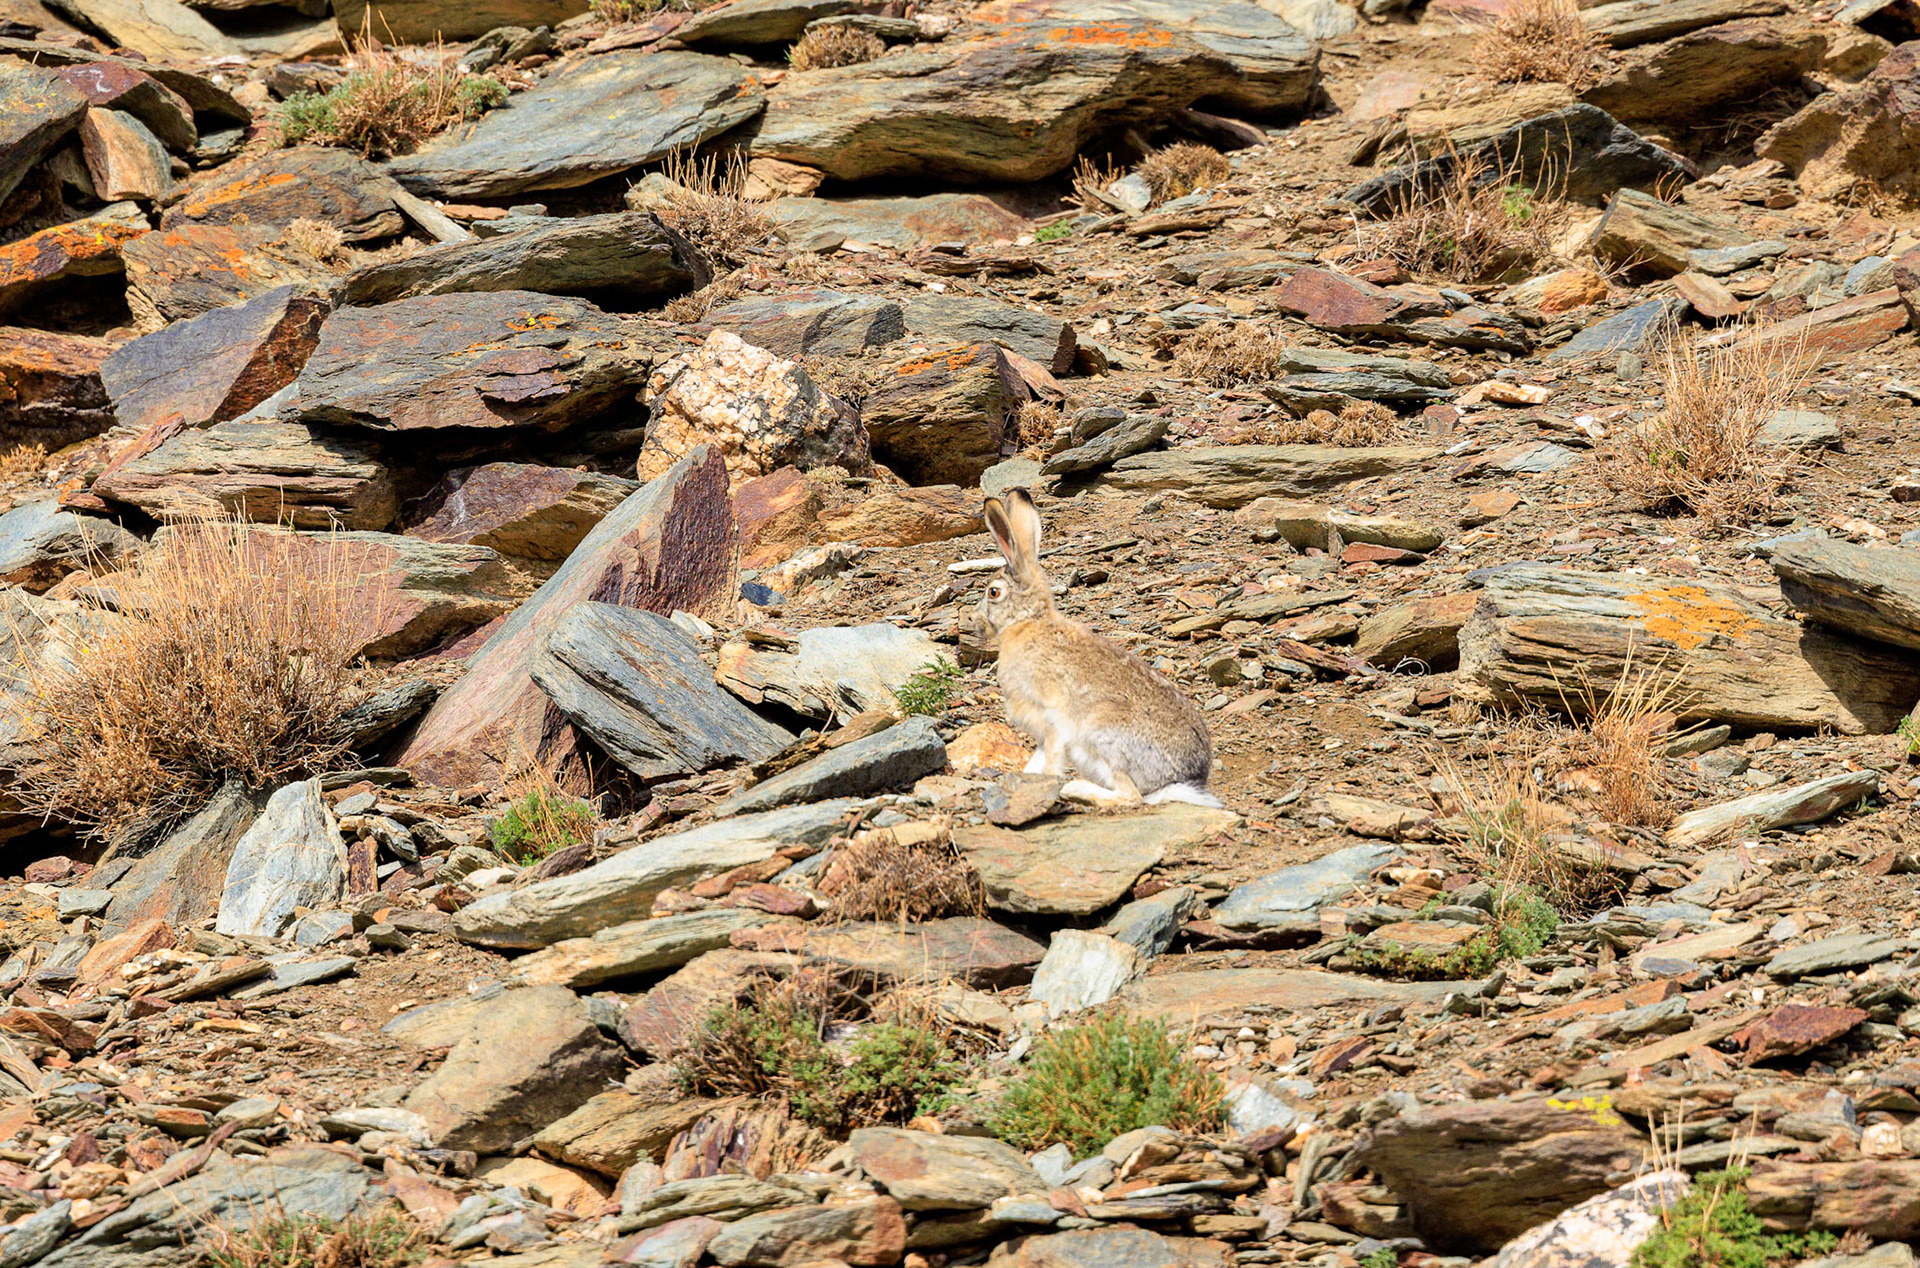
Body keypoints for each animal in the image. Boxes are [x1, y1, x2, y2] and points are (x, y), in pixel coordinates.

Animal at [976, 488, 1221, 808]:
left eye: (993, 592)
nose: (977, 621)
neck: (1027, 620)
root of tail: (1180, 779)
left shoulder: (1050, 719)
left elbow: (1052, 760)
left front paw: (1048, 784)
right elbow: (1036, 761)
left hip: (1103, 734)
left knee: (1131, 796)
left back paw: (1076, 789)